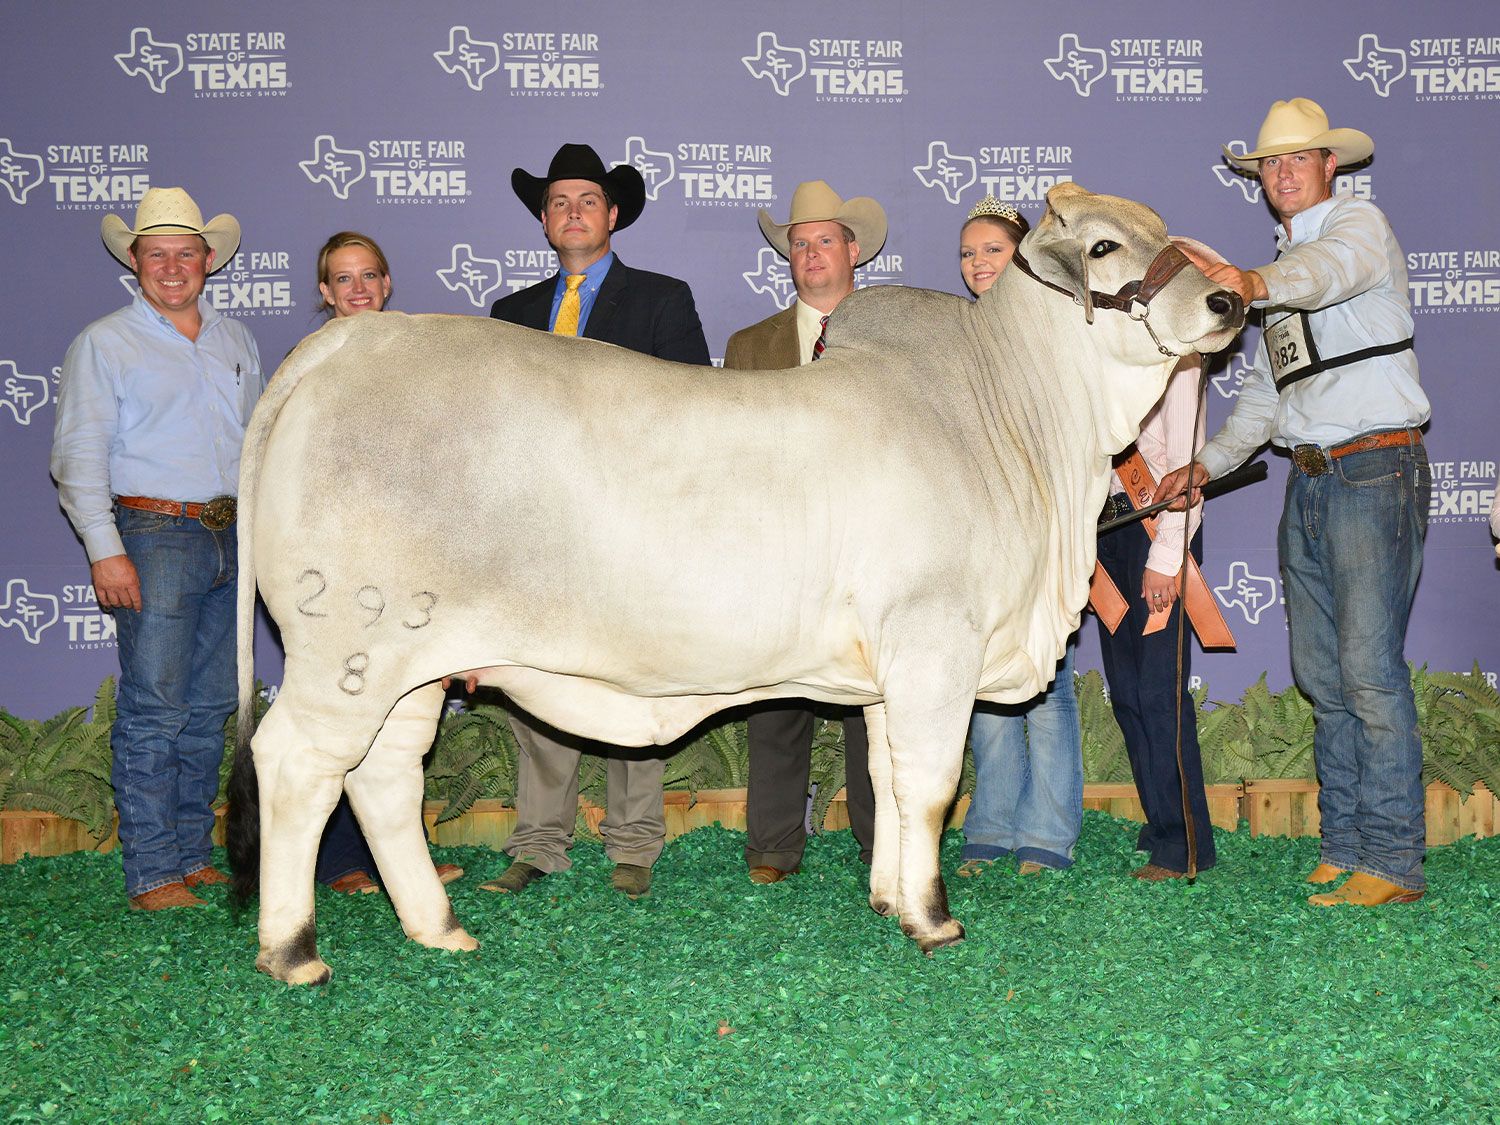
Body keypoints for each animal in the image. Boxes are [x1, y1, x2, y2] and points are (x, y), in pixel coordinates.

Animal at [231, 185, 1242, 984]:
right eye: (1105, 246)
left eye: (1168, 233)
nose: (1230, 298)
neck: (1015, 421)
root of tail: (348, 342)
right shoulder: (935, 645)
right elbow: (930, 784)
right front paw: (933, 917)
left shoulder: (890, 672)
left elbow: (886, 775)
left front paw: (885, 898)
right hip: (347, 648)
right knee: (297, 766)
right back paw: (293, 951)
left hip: (415, 665)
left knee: (383, 778)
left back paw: (440, 928)